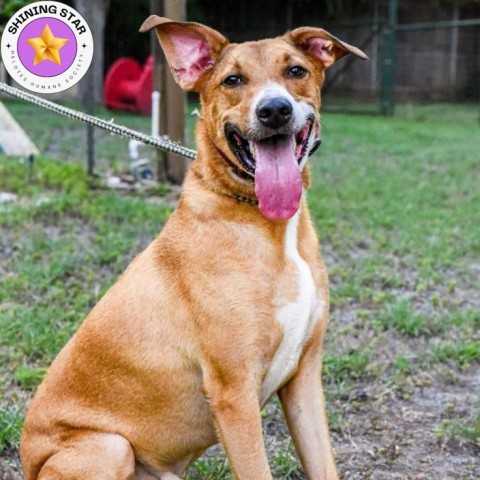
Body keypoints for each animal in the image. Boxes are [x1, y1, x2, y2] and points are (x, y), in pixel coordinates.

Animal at [18, 16, 366, 480]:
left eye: (296, 70)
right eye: (232, 80)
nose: (274, 110)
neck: (270, 226)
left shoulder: (304, 377)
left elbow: (324, 464)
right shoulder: (233, 393)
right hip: (110, 447)